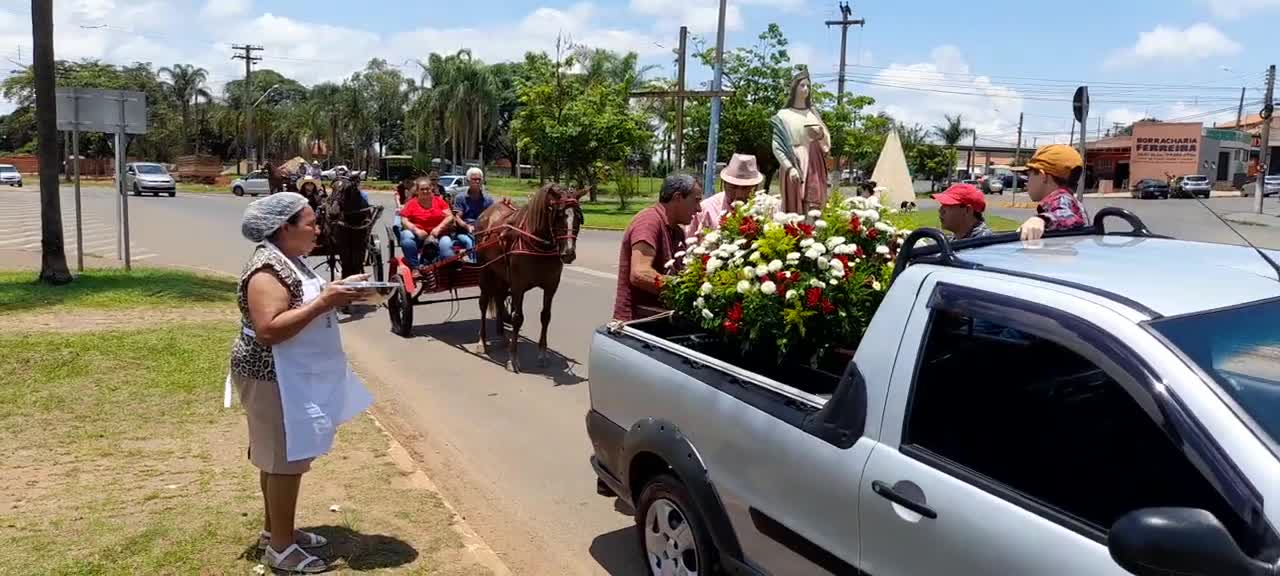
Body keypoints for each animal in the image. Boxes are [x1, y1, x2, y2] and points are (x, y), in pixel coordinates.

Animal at [476, 184, 586, 373]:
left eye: (579, 217)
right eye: (559, 215)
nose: (568, 253)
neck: (537, 242)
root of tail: (486, 213)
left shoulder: (551, 286)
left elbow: (546, 316)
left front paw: (542, 354)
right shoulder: (518, 285)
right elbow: (517, 318)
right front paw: (513, 358)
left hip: (502, 275)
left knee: (499, 298)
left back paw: (502, 336)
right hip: (486, 271)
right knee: (483, 303)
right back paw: (482, 341)